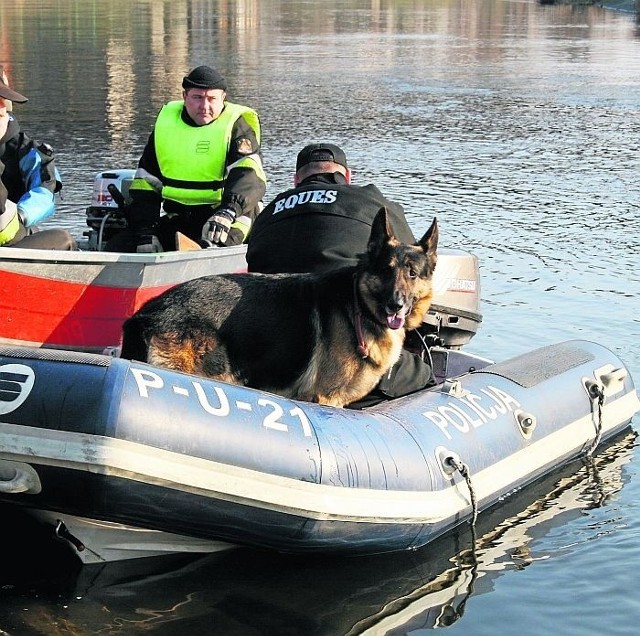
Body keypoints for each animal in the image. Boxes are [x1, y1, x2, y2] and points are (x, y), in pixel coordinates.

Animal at [119, 209, 438, 408]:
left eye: (412, 273)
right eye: (385, 270)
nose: (395, 305)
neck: (359, 308)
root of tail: (147, 313)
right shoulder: (326, 400)